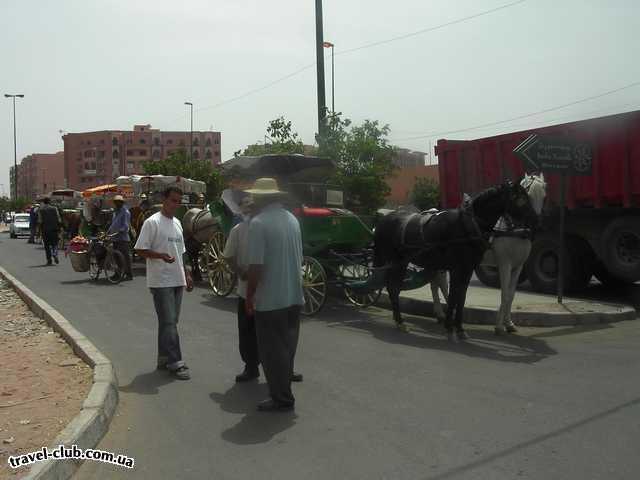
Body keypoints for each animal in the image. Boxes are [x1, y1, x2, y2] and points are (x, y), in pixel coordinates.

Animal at [492, 174, 548, 336]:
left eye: (544, 197)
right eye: (527, 196)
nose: (537, 223)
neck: (515, 230)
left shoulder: (518, 266)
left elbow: (510, 295)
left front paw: (509, 323)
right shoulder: (504, 264)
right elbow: (504, 294)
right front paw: (499, 326)